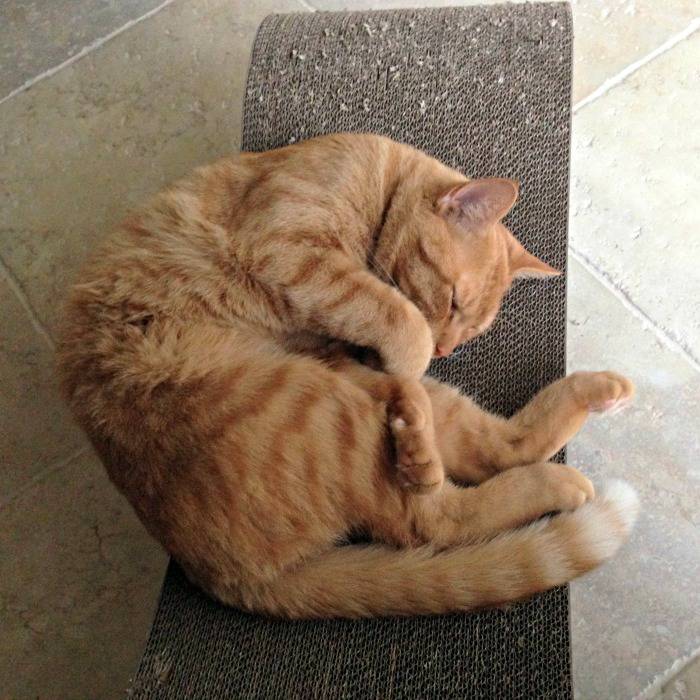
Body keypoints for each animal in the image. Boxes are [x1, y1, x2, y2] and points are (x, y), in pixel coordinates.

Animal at [58, 133, 640, 616]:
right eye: (453, 301)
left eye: (472, 330)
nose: (447, 348)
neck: (376, 187)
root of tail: (229, 577)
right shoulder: (290, 251)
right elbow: (400, 320)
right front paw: (412, 360)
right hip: (314, 401)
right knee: (434, 517)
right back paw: (463, 458)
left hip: (330, 397)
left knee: (495, 453)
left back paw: (591, 398)